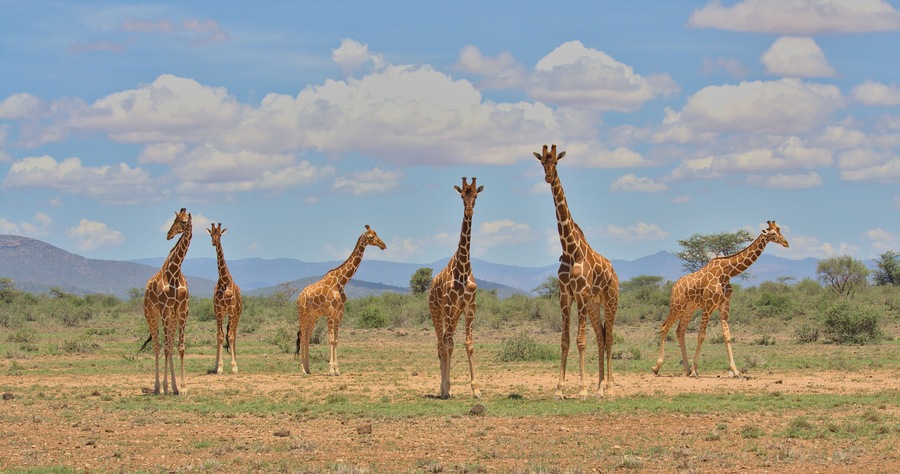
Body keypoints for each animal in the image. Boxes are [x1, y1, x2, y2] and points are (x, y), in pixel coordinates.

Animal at [142, 208, 192, 395]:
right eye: (174, 220)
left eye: (183, 221)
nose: (169, 234)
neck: (175, 272)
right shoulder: (164, 309)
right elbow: (166, 347)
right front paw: (165, 386)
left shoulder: (182, 310)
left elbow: (179, 347)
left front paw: (182, 387)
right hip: (151, 315)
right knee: (157, 346)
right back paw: (158, 387)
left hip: (172, 317)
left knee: (168, 344)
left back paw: (173, 387)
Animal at [296, 225, 387, 376]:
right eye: (371, 236)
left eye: (376, 234)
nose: (383, 245)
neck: (341, 282)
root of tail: (299, 297)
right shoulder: (330, 312)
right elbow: (331, 340)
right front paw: (331, 370)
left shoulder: (339, 313)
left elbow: (336, 340)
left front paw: (337, 369)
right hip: (302, 314)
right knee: (302, 337)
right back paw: (302, 369)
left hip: (313, 316)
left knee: (307, 337)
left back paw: (308, 369)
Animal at [534, 144, 619, 399]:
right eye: (542, 162)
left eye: (556, 163)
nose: (548, 177)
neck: (570, 249)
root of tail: (615, 274)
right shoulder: (565, 295)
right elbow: (565, 340)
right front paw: (560, 389)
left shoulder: (580, 294)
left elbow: (581, 340)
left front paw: (581, 390)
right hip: (593, 304)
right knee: (601, 337)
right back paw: (599, 387)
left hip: (610, 300)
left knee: (610, 338)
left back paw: (610, 389)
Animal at [652, 221, 789, 377]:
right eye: (773, 233)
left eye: (779, 230)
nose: (786, 243)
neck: (726, 272)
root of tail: (674, 287)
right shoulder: (708, 305)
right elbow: (701, 335)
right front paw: (695, 370)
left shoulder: (724, 305)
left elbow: (727, 336)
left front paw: (735, 370)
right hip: (677, 306)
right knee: (664, 327)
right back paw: (657, 367)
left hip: (689, 309)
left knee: (679, 331)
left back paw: (686, 369)